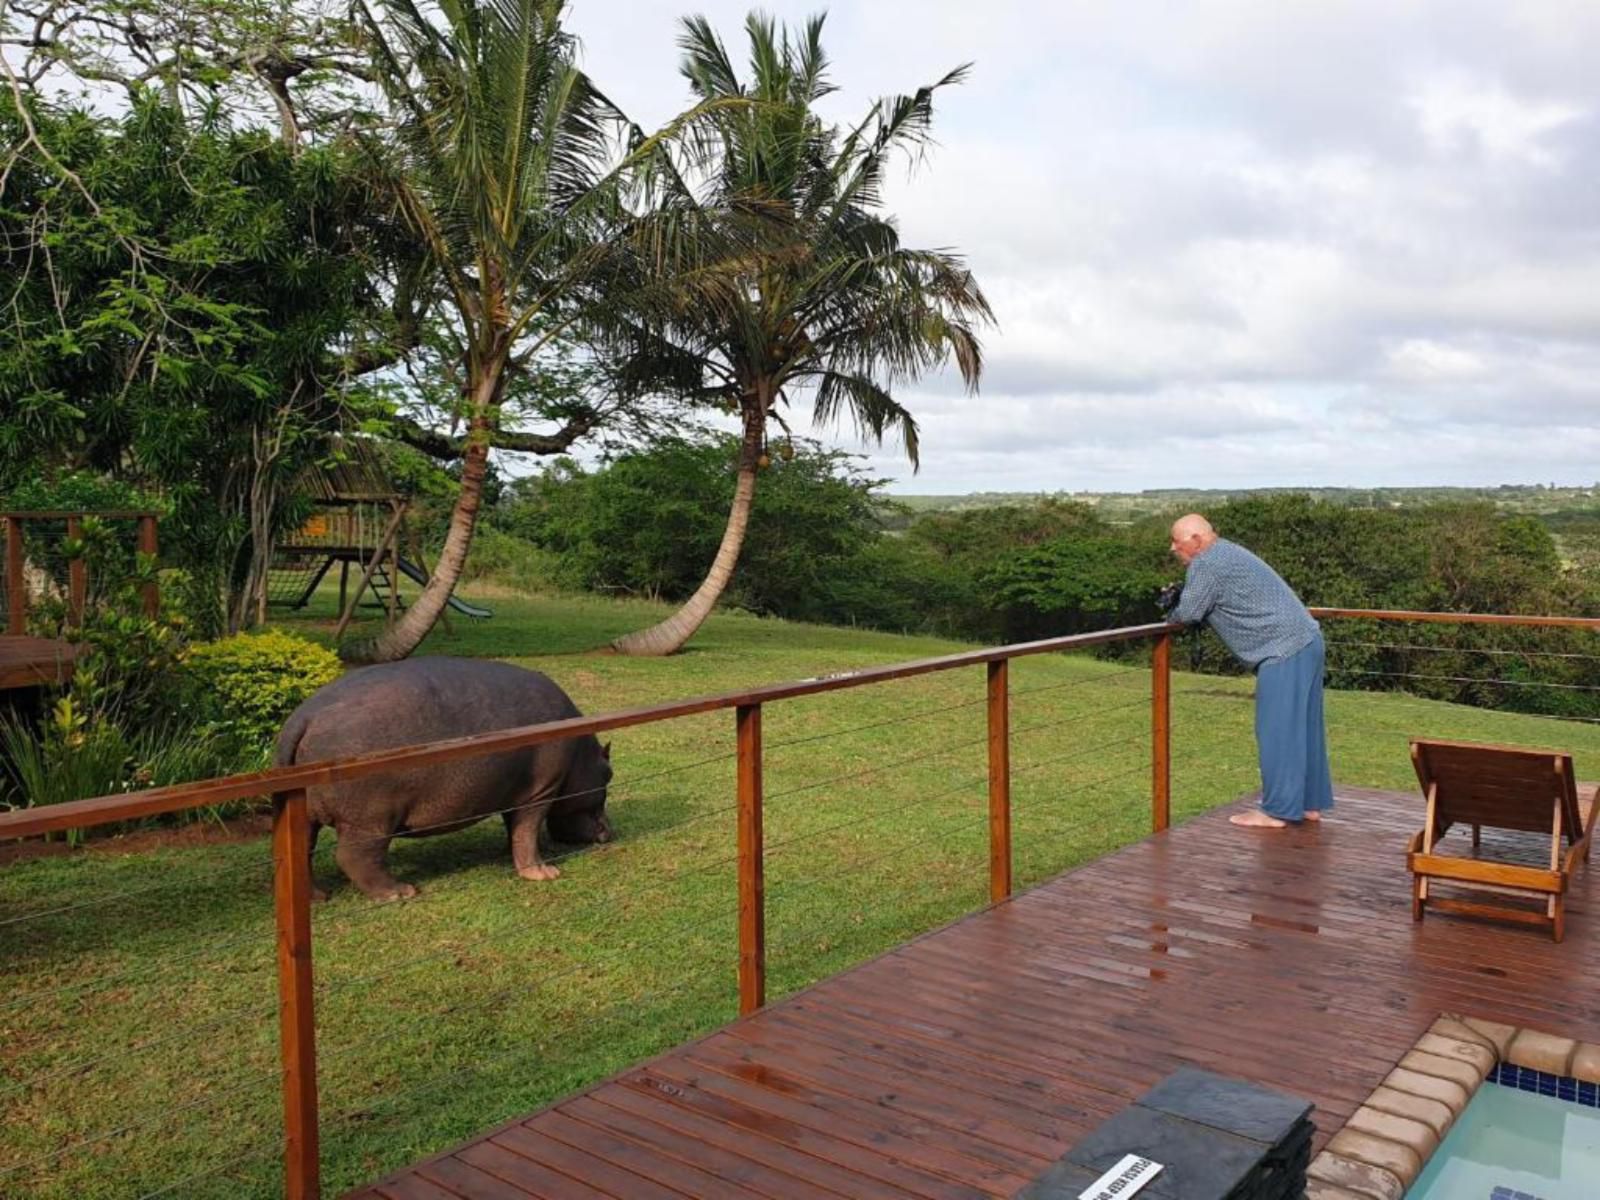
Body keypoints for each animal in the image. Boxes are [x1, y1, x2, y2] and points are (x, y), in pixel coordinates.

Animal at [275, 659, 611, 902]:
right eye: (610, 774)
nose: (610, 831)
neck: (584, 752)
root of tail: (303, 716)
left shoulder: (514, 792)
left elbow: (515, 829)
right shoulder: (541, 792)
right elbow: (527, 830)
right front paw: (545, 873)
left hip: (305, 817)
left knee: (300, 855)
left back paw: (318, 897)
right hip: (370, 819)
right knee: (355, 856)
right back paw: (401, 892)